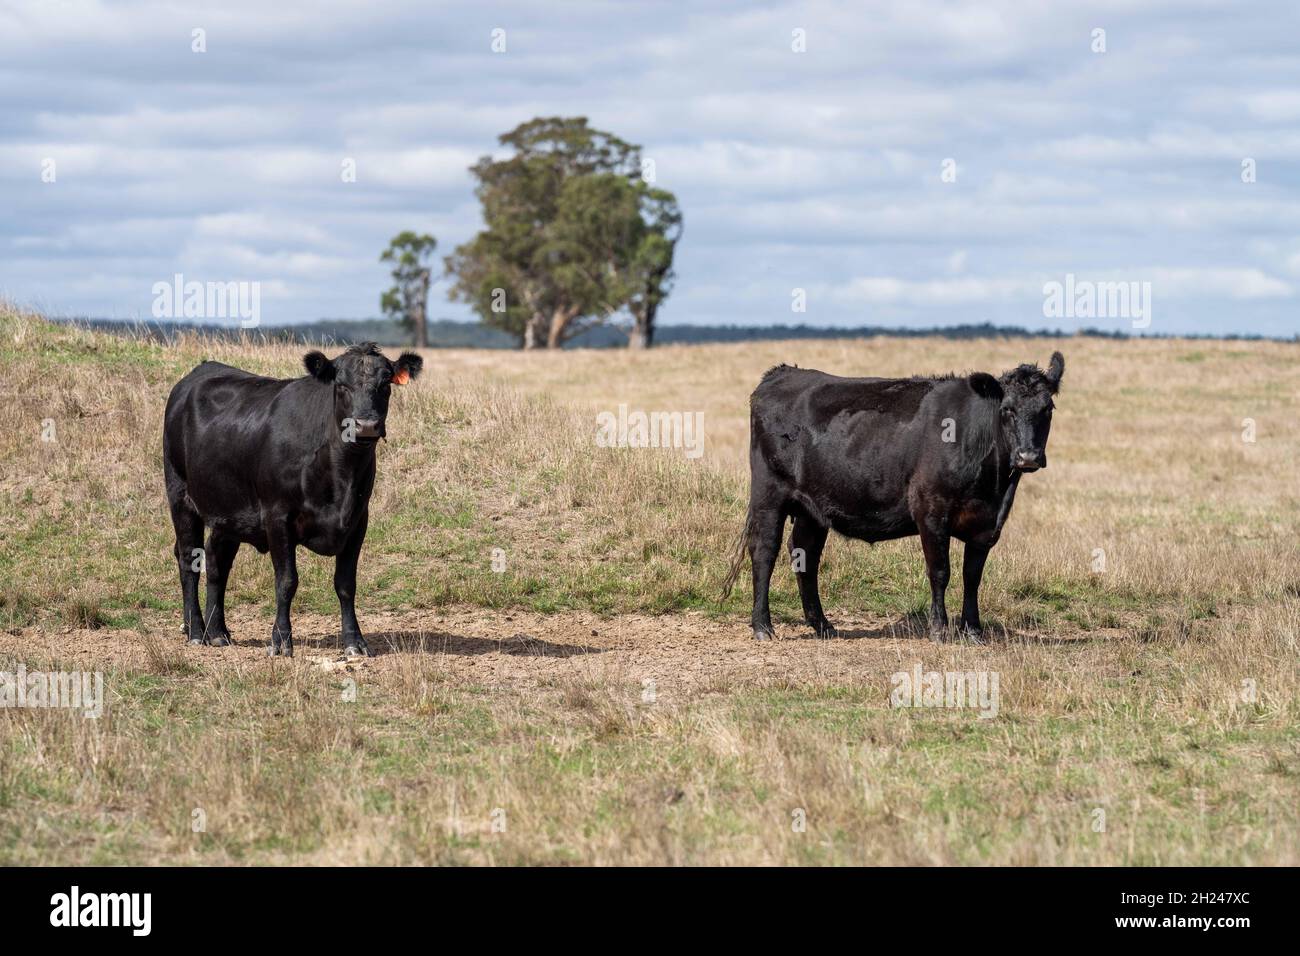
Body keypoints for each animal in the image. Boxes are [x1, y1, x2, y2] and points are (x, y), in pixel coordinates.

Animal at [728, 356, 1060, 647]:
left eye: (1048, 408)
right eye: (1007, 409)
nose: (1028, 457)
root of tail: (783, 372)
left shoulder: (987, 524)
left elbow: (972, 577)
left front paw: (973, 631)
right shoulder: (931, 511)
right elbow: (940, 571)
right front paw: (939, 629)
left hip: (813, 509)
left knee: (805, 555)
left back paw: (823, 625)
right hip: (768, 495)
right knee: (765, 552)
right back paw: (762, 626)